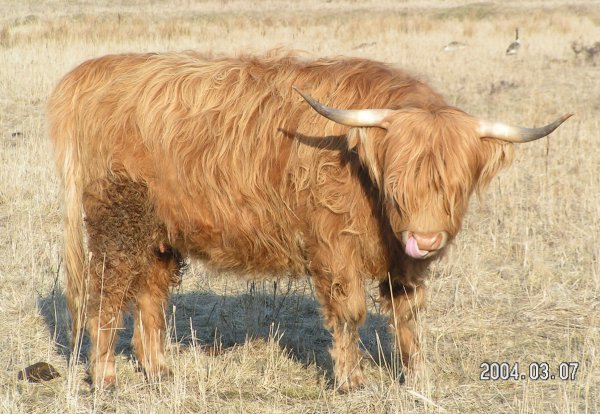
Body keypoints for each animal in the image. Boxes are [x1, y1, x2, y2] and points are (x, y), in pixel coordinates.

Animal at [49, 50, 568, 390]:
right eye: (397, 183)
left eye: (456, 186)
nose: (424, 239)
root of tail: (102, 70)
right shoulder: (334, 245)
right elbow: (351, 311)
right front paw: (351, 379)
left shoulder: (402, 261)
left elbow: (408, 313)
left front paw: (418, 376)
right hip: (118, 218)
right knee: (106, 292)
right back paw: (105, 377)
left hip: (160, 232)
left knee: (150, 294)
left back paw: (159, 370)